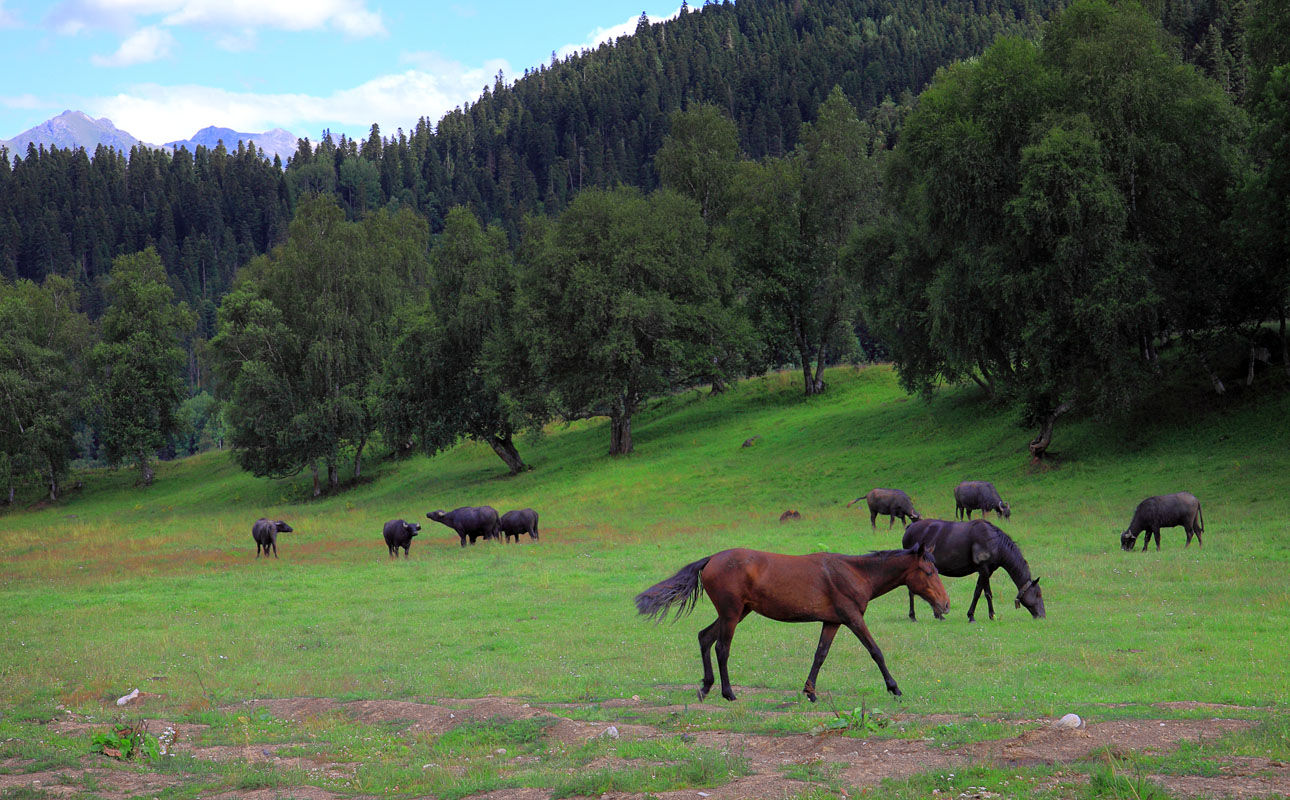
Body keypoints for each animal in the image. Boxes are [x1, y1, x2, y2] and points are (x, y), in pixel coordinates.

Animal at [632, 547, 949, 701]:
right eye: (929, 571)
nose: (945, 604)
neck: (855, 572)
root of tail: (711, 560)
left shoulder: (832, 622)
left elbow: (820, 655)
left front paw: (810, 692)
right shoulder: (853, 618)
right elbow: (876, 652)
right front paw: (894, 688)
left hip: (737, 612)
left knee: (704, 637)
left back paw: (706, 687)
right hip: (732, 614)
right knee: (722, 648)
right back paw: (728, 693)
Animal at [903, 518, 1042, 624]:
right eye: (1038, 594)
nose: (1042, 615)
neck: (995, 543)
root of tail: (909, 528)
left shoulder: (986, 571)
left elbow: (977, 592)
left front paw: (971, 615)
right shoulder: (983, 568)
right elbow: (987, 593)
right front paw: (992, 615)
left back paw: (938, 615)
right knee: (911, 592)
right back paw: (914, 616)